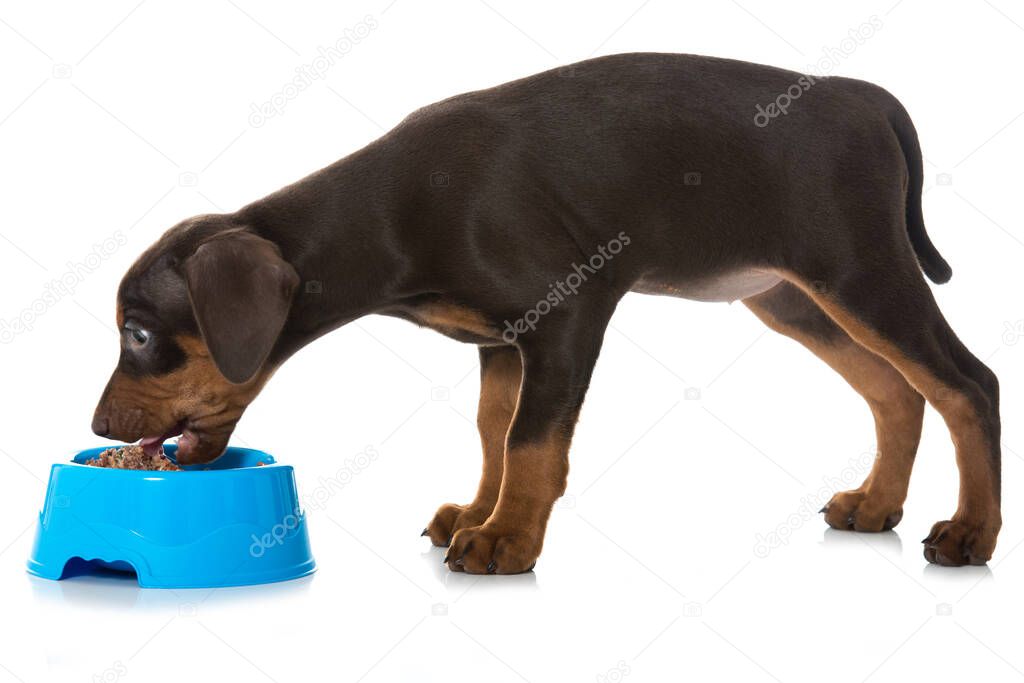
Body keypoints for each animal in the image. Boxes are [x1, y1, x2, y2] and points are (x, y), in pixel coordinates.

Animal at [92, 56, 1003, 573]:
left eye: (138, 333)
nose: (99, 424)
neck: (395, 209)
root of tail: (863, 96)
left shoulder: (570, 313)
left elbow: (534, 442)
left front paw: (508, 539)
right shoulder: (501, 343)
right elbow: (496, 431)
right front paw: (480, 511)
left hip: (860, 271)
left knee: (969, 382)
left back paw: (971, 532)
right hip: (791, 297)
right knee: (897, 389)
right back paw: (878, 504)